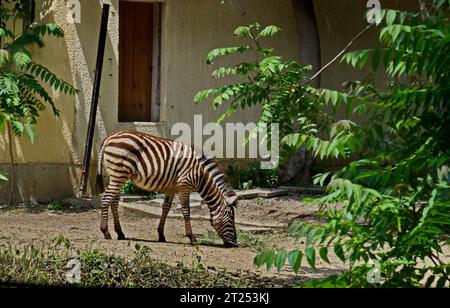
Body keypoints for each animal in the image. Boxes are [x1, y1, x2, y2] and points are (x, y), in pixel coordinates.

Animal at [95, 130, 239, 248]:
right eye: (231, 218)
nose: (234, 243)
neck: (200, 174)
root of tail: (108, 138)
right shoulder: (184, 186)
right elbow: (186, 210)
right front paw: (191, 237)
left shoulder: (171, 188)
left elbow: (166, 208)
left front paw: (161, 235)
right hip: (119, 173)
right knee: (106, 197)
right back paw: (105, 231)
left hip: (116, 175)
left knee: (114, 201)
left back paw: (120, 233)